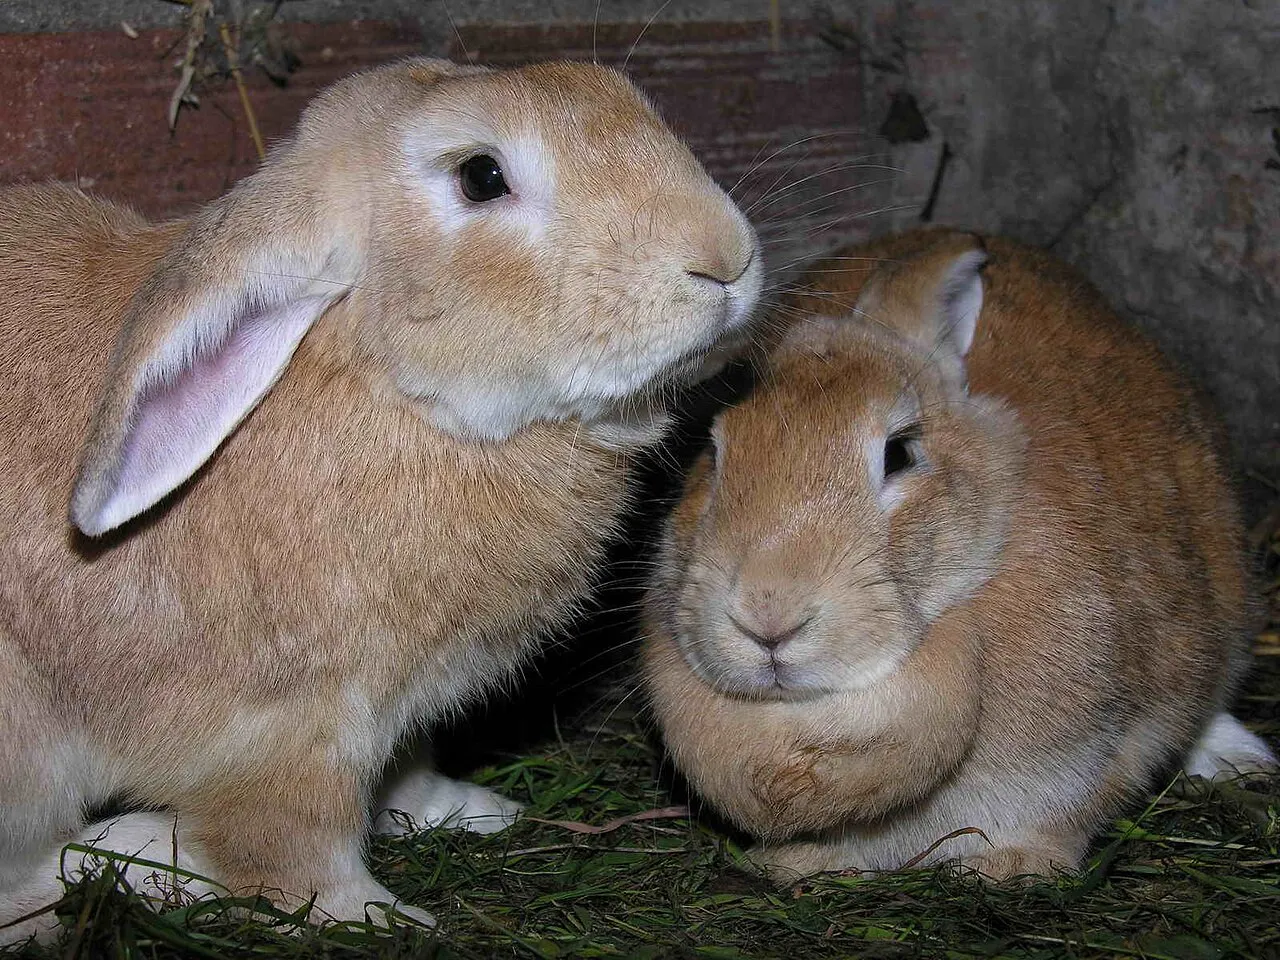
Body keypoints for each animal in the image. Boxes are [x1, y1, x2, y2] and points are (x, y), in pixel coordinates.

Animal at [0, 56, 762, 942]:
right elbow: (292, 853)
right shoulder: (288, 733)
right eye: (481, 177)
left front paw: (472, 811)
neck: (388, 387)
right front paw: (387, 919)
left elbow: (409, 774)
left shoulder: (401, 715)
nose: (725, 256)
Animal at [642, 229, 1276, 884]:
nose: (768, 616)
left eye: (900, 453)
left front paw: (1015, 866)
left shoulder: (1116, 738)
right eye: (715, 452)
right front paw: (798, 867)